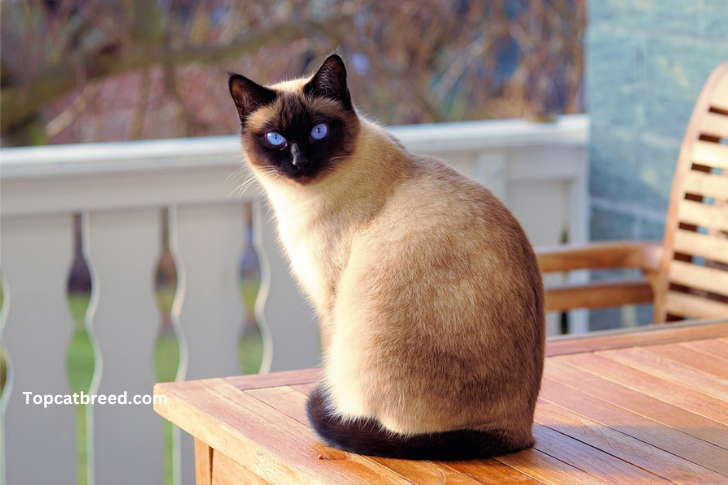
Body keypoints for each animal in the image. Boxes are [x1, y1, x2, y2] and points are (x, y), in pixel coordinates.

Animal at [230, 54, 544, 460]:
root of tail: (519, 432)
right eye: (275, 139)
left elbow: (328, 362)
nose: (300, 162)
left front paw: (332, 403)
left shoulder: (330, 300)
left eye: (318, 131)